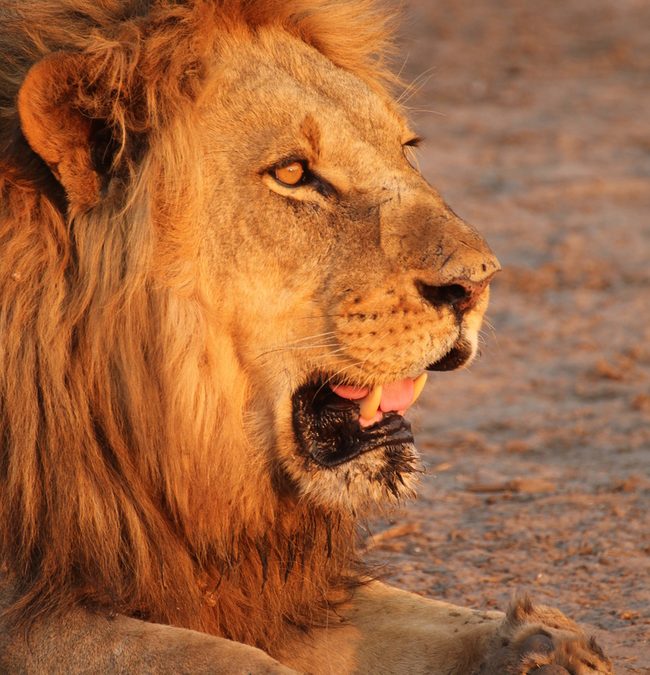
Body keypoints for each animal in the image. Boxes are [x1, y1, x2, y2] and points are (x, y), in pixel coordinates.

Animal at [0, 1, 612, 673]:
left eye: (406, 150)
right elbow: (231, 661)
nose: (478, 282)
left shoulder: (272, 586)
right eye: (293, 173)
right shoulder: (31, 613)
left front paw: (545, 646)